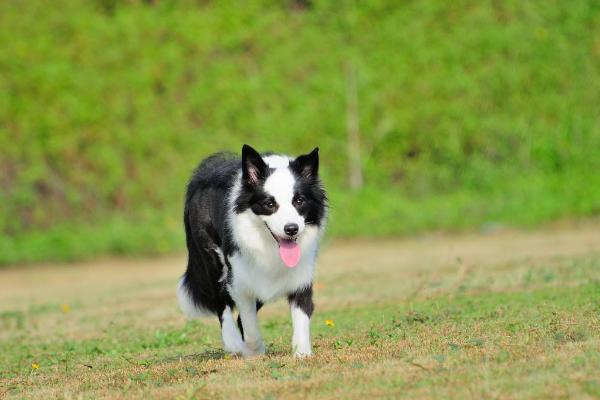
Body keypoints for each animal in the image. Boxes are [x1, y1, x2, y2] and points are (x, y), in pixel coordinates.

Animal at [177, 145, 328, 358]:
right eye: (269, 204)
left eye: (299, 201)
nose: (291, 229)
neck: (269, 247)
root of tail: (201, 173)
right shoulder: (239, 279)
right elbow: (249, 324)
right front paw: (253, 351)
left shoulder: (300, 275)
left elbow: (301, 315)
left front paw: (302, 353)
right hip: (213, 260)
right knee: (221, 303)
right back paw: (232, 342)